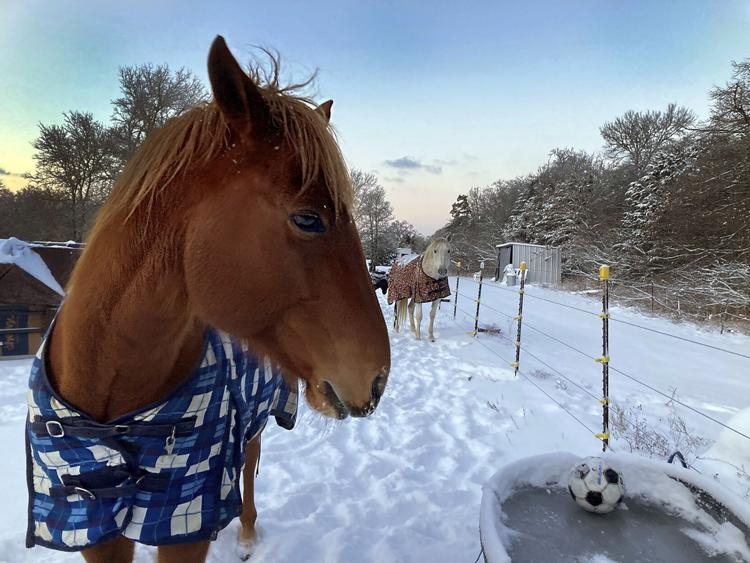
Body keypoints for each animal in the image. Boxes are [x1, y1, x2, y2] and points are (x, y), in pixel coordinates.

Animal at [33, 36, 390, 563]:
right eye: (308, 219)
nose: (377, 379)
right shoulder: (92, 522)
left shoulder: (182, 520)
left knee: (248, 465)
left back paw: (245, 533)